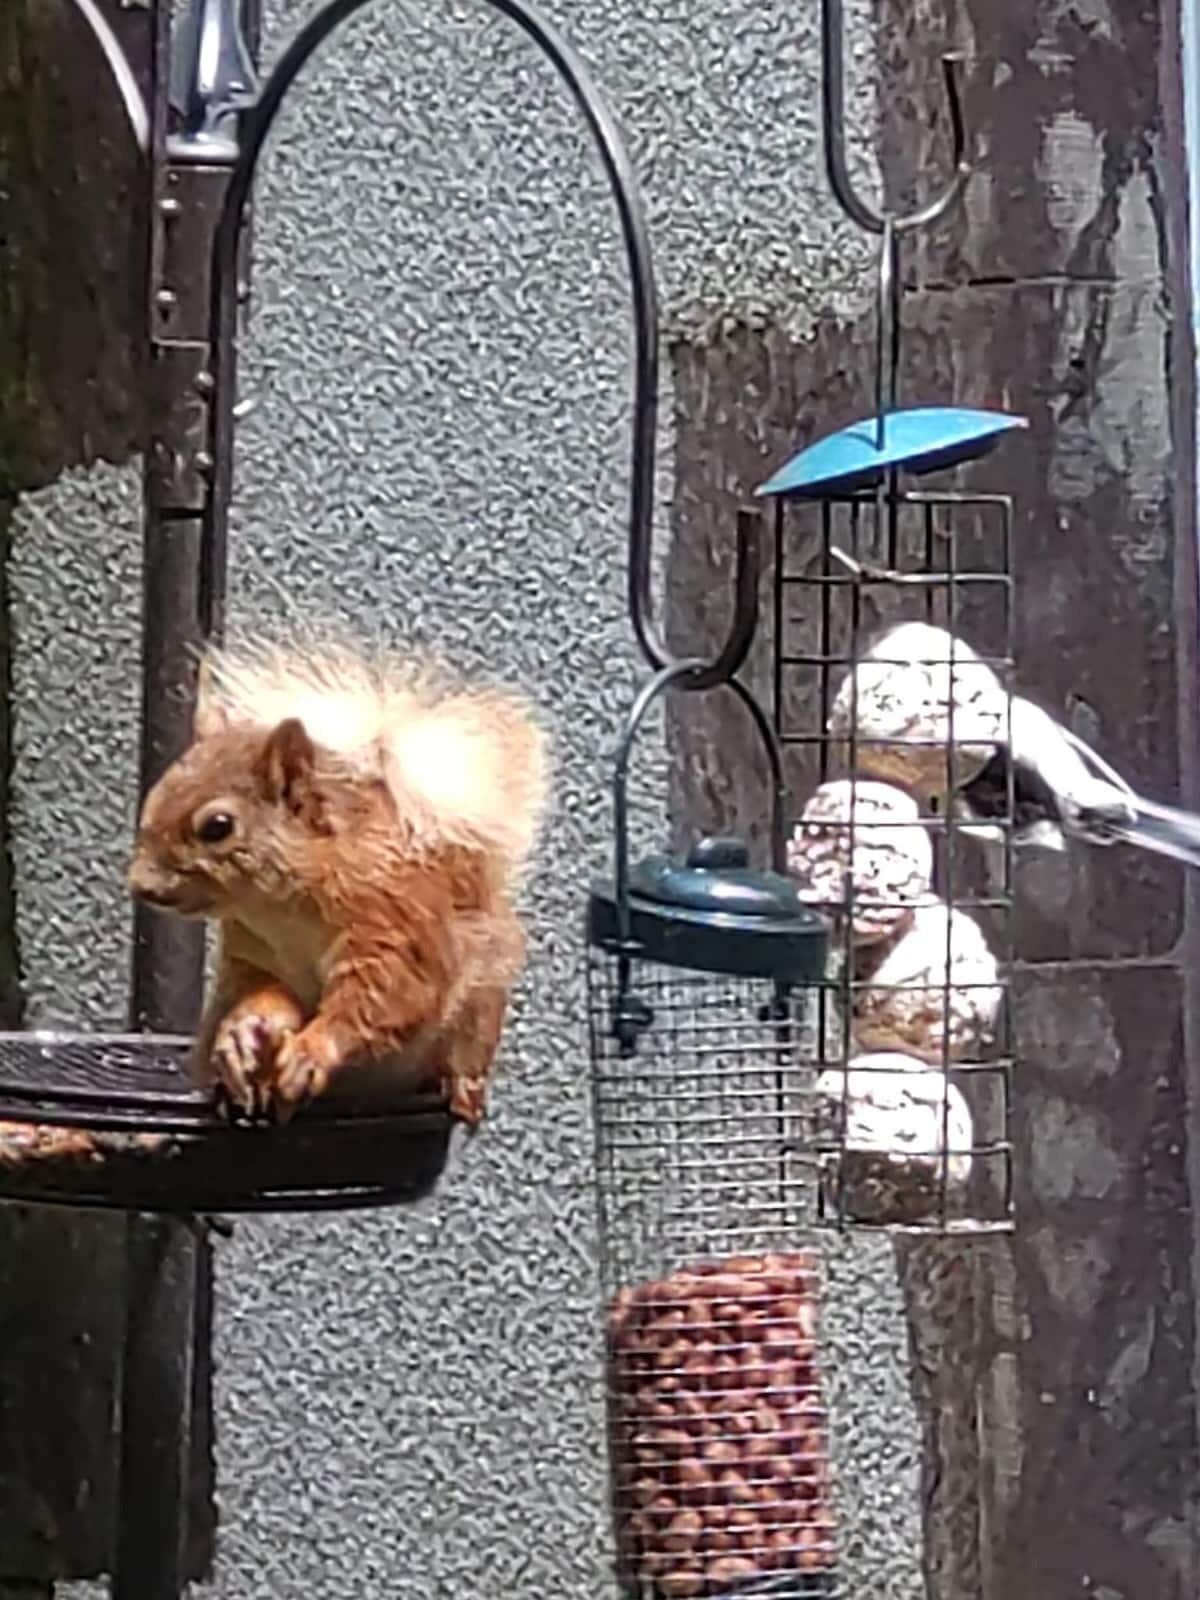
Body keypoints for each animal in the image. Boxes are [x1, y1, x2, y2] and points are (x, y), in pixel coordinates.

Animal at [127, 637, 550, 1127]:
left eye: (218, 826)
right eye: (158, 789)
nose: (140, 885)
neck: (282, 907)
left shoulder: (391, 927)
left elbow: (382, 1001)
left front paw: (311, 1052)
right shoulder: (256, 951)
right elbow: (265, 993)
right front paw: (243, 1032)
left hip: (478, 1008)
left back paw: (462, 1088)